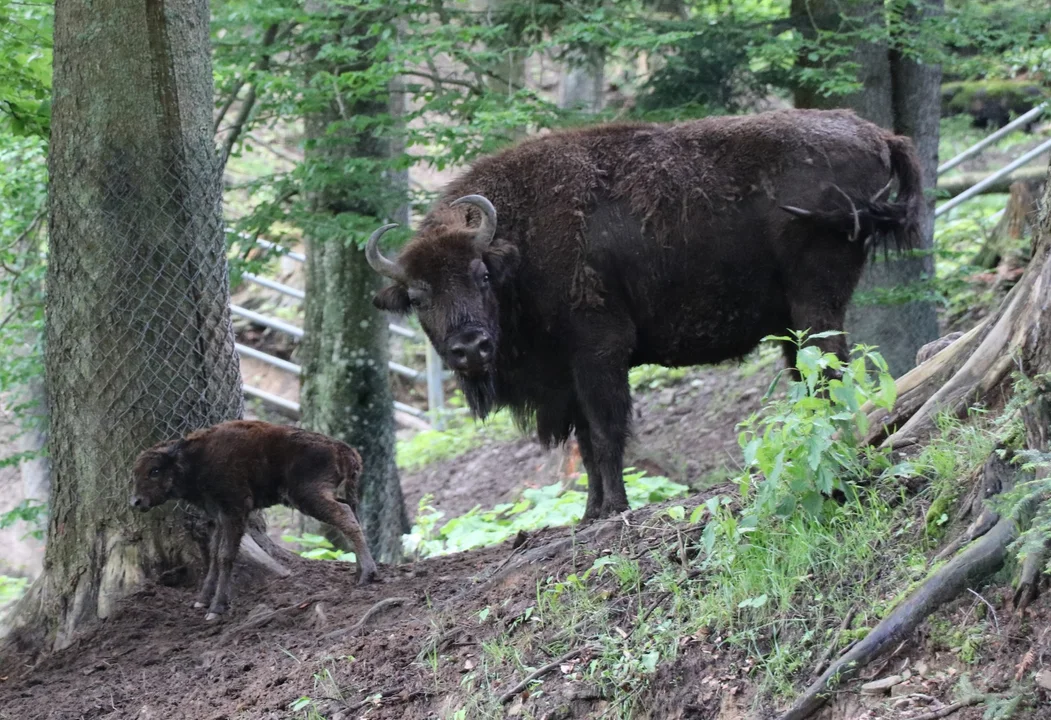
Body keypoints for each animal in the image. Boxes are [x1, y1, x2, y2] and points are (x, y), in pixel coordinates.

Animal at [130, 418, 378, 622]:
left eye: (154, 471)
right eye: (135, 472)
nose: (136, 501)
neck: (197, 459)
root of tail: (343, 449)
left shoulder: (235, 511)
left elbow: (225, 556)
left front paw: (216, 608)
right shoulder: (219, 517)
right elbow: (214, 555)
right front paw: (202, 600)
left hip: (308, 495)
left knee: (345, 516)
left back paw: (367, 574)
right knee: (352, 514)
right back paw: (360, 571)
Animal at [365, 108, 924, 521]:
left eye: (481, 275)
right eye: (417, 296)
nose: (471, 347)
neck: (518, 246)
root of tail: (878, 133)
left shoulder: (599, 354)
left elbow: (607, 434)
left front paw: (614, 508)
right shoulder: (569, 376)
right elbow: (586, 445)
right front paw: (590, 513)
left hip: (816, 305)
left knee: (832, 370)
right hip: (794, 324)